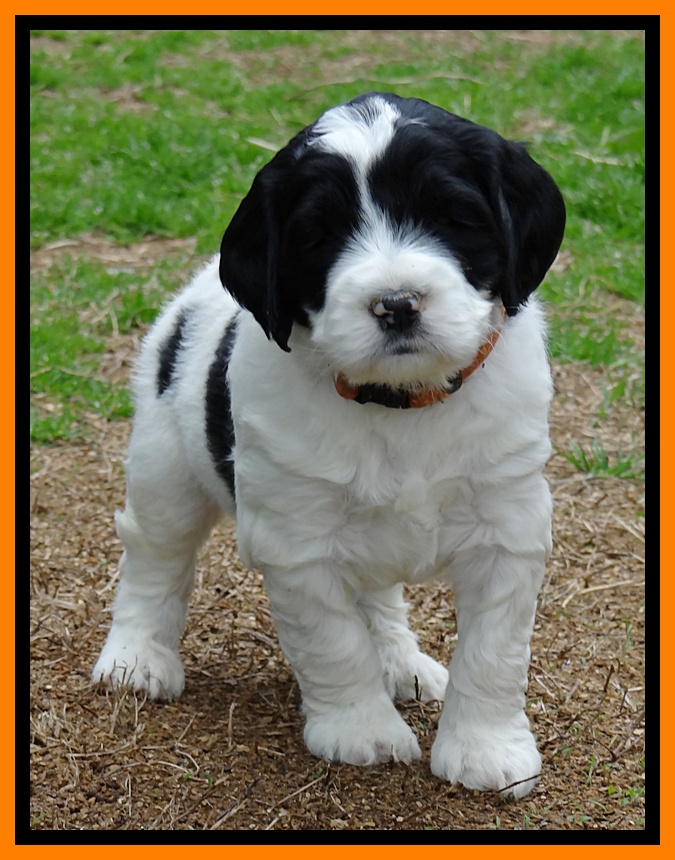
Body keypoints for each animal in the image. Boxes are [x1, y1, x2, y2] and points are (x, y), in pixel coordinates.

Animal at [93, 92, 565, 798]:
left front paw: (486, 748)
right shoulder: (298, 541)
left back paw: (400, 662)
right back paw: (136, 656)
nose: (397, 303)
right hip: (164, 464)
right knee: (156, 554)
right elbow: (333, 642)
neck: (400, 402)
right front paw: (359, 730)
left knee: (376, 595)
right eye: (320, 235)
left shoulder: (508, 525)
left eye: (454, 216)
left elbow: (494, 649)